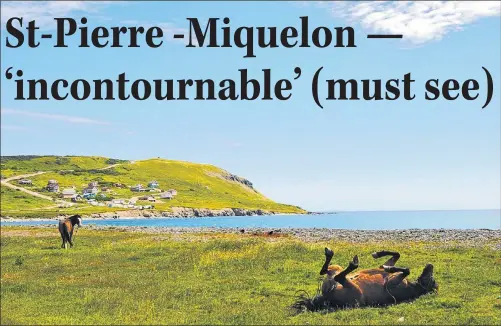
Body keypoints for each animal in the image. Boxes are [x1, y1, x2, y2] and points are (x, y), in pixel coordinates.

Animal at [292, 247, 438, 310]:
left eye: (432, 280)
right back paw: (331, 254)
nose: (430, 265)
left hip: (355, 291)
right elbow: (396, 254)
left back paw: (353, 264)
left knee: (339, 277)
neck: (413, 286)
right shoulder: (388, 266)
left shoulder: (392, 284)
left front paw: (388, 268)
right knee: (325, 271)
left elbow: (406, 270)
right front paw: (378, 254)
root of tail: (326, 298)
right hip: (336, 269)